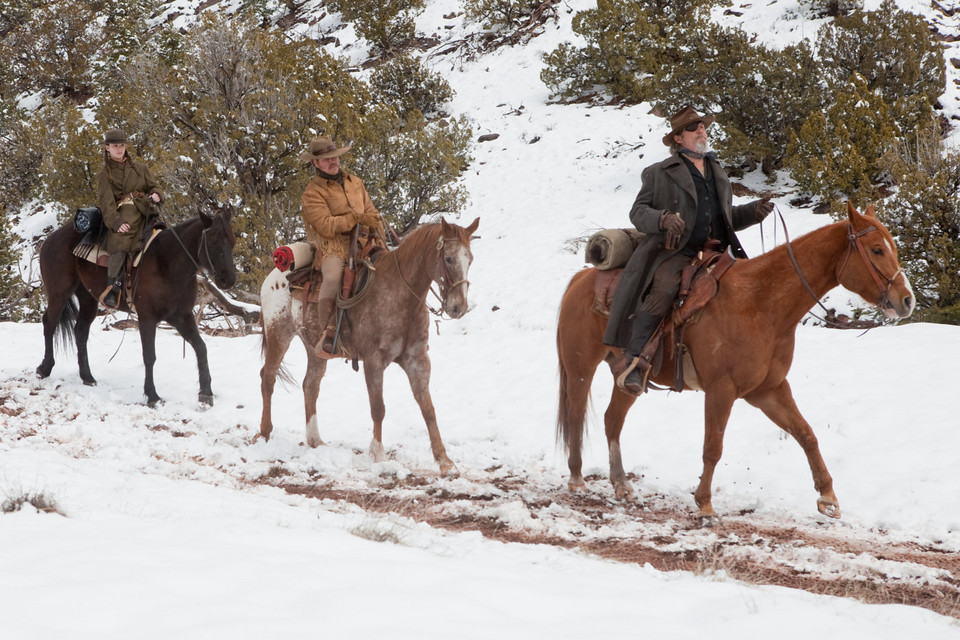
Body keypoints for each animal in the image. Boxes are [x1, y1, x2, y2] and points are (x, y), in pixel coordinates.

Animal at [37, 214, 236, 404]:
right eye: (213, 241)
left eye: (232, 242)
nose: (228, 280)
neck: (168, 262)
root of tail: (51, 238)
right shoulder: (147, 318)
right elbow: (149, 355)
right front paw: (152, 396)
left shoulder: (182, 317)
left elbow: (201, 348)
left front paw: (206, 393)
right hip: (59, 293)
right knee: (50, 325)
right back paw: (44, 368)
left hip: (88, 300)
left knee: (80, 331)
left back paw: (87, 376)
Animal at [258, 219, 480, 476]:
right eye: (449, 259)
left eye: (470, 259)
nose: (458, 307)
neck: (399, 295)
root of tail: (274, 276)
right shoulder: (374, 362)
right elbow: (378, 408)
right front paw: (378, 455)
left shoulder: (417, 361)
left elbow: (428, 408)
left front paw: (444, 460)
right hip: (279, 333)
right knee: (268, 377)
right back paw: (264, 433)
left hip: (315, 349)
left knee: (310, 386)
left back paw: (315, 440)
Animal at [560, 205, 920, 524]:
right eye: (876, 249)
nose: (906, 301)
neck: (761, 303)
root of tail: (580, 279)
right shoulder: (721, 390)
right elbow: (713, 447)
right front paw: (705, 505)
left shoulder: (768, 390)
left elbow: (806, 434)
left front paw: (828, 497)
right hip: (580, 368)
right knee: (577, 415)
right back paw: (576, 478)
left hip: (626, 377)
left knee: (612, 420)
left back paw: (622, 484)